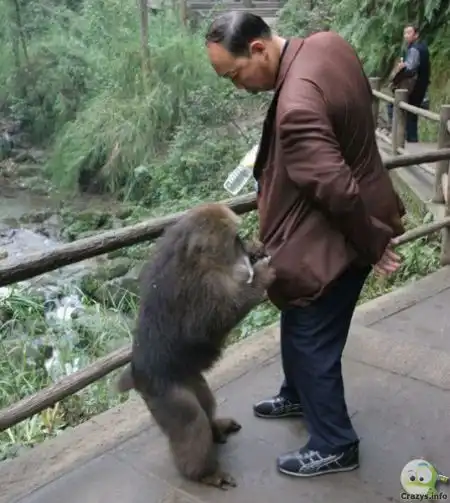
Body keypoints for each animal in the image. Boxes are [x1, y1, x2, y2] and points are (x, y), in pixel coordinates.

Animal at [115, 202, 276, 490]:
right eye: (234, 239)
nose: (244, 247)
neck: (198, 258)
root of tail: (136, 373)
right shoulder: (204, 287)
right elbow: (218, 317)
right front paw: (261, 275)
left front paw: (257, 249)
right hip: (166, 394)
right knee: (192, 421)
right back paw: (203, 473)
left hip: (189, 375)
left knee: (205, 399)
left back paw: (215, 428)